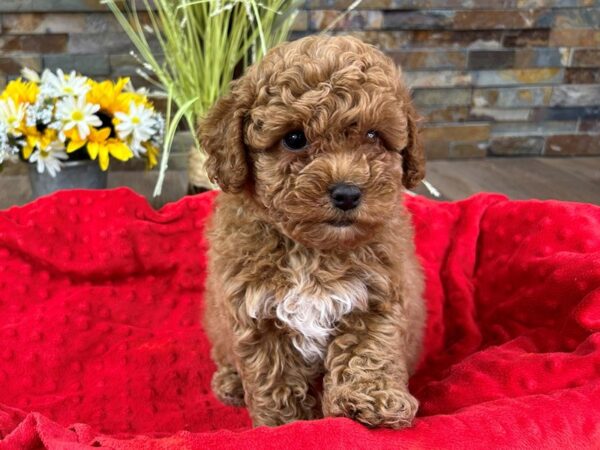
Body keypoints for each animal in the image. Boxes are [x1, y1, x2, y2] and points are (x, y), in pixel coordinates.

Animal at [202, 35, 426, 428]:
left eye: (373, 135)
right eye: (294, 139)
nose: (348, 193)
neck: (312, 251)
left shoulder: (375, 297)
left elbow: (369, 353)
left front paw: (374, 400)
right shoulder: (258, 314)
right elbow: (276, 381)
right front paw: (284, 426)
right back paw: (229, 383)